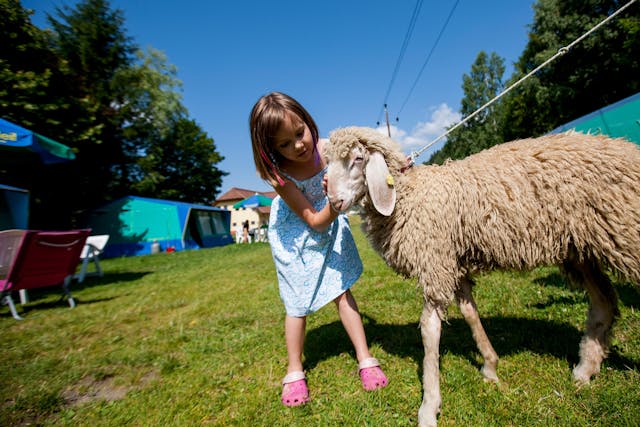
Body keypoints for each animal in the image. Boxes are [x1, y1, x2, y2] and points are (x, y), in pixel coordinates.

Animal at [324, 127, 640, 427]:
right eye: (327, 164)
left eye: (358, 159)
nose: (335, 201)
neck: (408, 197)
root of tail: (627, 147)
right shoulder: (454, 264)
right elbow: (470, 312)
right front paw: (490, 365)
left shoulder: (435, 261)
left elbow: (430, 330)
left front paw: (429, 406)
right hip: (580, 248)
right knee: (604, 303)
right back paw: (584, 371)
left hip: (624, 230)